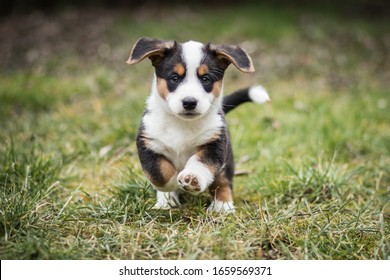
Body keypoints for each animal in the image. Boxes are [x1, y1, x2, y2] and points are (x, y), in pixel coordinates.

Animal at [127, 36, 268, 212]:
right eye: (174, 78)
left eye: (206, 79)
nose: (189, 102)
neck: (182, 123)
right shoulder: (148, 144)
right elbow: (159, 173)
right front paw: (174, 185)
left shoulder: (215, 144)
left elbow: (200, 162)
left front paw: (191, 179)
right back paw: (166, 201)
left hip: (227, 160)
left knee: (223, 182)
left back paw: (222, 205)